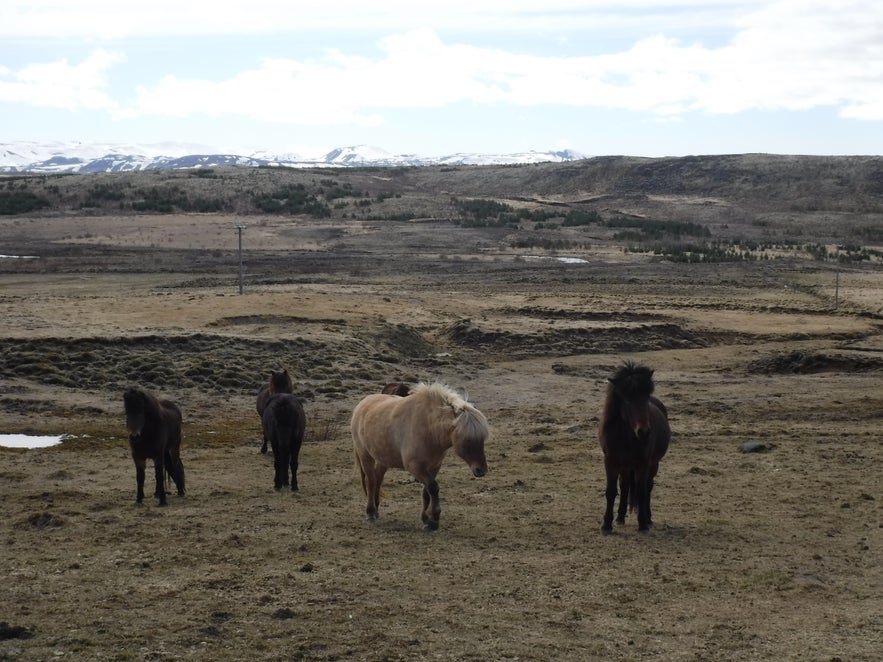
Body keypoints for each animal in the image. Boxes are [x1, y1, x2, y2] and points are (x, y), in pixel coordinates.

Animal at [352, 382, 490, 532]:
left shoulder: (434, 466)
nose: (481, 470)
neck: (429, 429)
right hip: (365, 455)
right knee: (371, 481)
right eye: (467, 439)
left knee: (378, 478)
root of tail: (362, 404)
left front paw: (426, 520)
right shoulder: (415, 467)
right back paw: (371, 513)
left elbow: (426, 492)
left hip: (383, 458)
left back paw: (376, 509)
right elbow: (433, 488)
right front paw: (434, 519)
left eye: (482, 439)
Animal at [600, 360, 668, 536]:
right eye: (627, 400)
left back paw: (648, 519)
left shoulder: (642, 464)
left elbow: (642, 492)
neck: (626, 437)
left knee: (648, 487)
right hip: (625, 466)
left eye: (646, 397)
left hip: (653, 464)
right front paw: (606, 525)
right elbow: (611, 491)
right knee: (624, 486)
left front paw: (643, 524)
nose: (644, 432)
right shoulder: (610, 461)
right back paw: (620, 518)